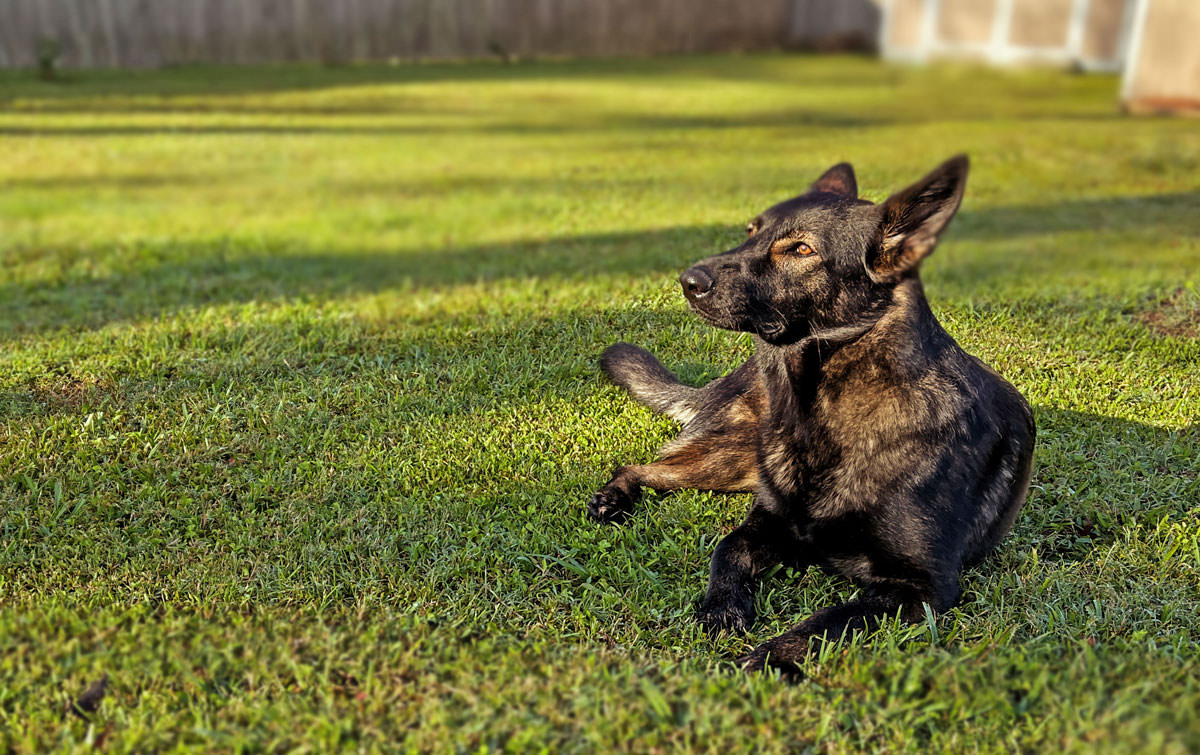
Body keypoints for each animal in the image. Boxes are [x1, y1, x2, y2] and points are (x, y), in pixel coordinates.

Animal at [588, 154, 1032, 672]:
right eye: (751, 231)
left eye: (800, 249)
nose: (688, 281)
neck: (822, 415)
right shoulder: (767, 523)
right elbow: (727, 547)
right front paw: (722, 609)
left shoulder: (921, 588)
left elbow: (830, 619)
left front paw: (768, 658)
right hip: (734, 458)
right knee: (641, 466)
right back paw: (614, 497)